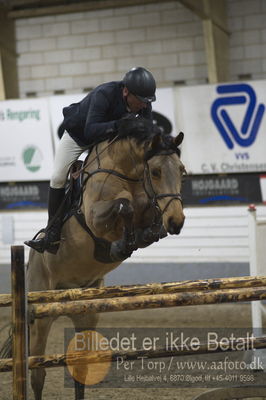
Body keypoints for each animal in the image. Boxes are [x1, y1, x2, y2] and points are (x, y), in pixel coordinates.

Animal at [7, 115, 187, 400]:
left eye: (181, 171)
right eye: (156, 172)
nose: (177, 221)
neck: (128, 173)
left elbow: (148, 220)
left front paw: (138, 237)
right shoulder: (95, 217)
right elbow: (124, 205)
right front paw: (121, 244)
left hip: (86, 314)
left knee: (80, 368)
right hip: (41, 316)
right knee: (38, 372)